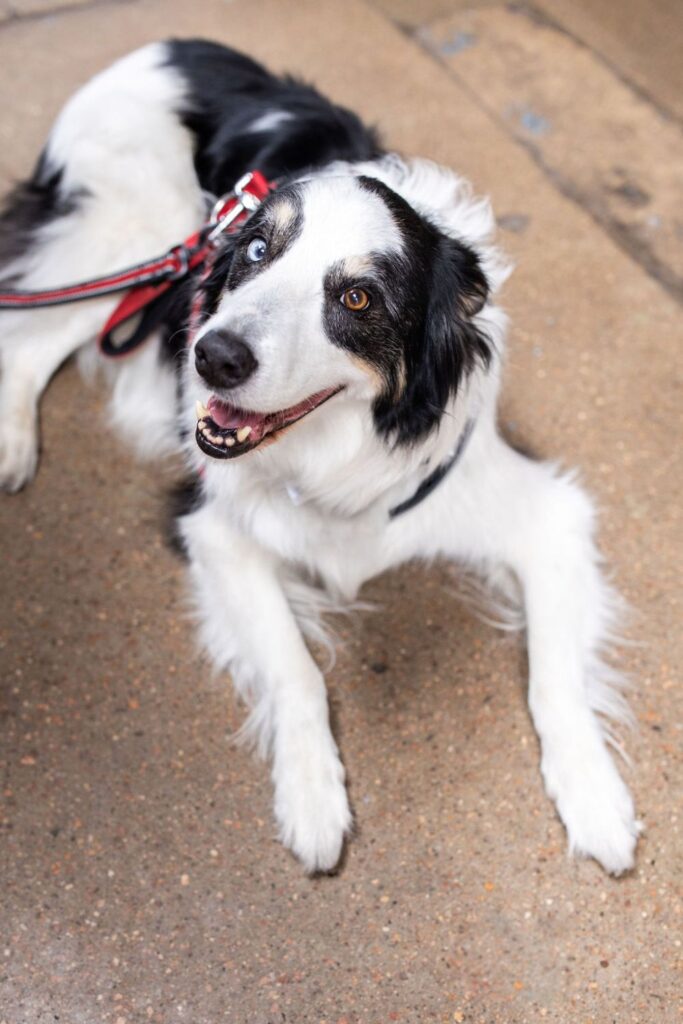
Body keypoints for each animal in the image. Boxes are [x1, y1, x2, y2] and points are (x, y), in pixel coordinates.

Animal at [0, 39, 643, 872]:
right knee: (28, 333)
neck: (338, 448)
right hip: (130, 234)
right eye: (255, 249)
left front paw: (594, 797)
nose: (212, 357)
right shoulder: (213, 526)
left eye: (357, 299)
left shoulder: (543, 514)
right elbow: (296, 672)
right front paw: (311, 797)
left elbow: (553, 679)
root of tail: (162, 47)